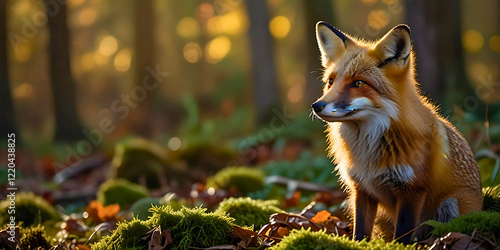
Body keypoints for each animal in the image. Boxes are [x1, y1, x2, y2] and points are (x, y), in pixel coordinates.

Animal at [310, 22, 482, 243]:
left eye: (358, 83)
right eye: (331, 82)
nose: (316, 106)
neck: (369, 150)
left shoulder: (413, 189)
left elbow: (403, 232)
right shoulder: (362, 189)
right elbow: (360, 231)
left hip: (452, 203)